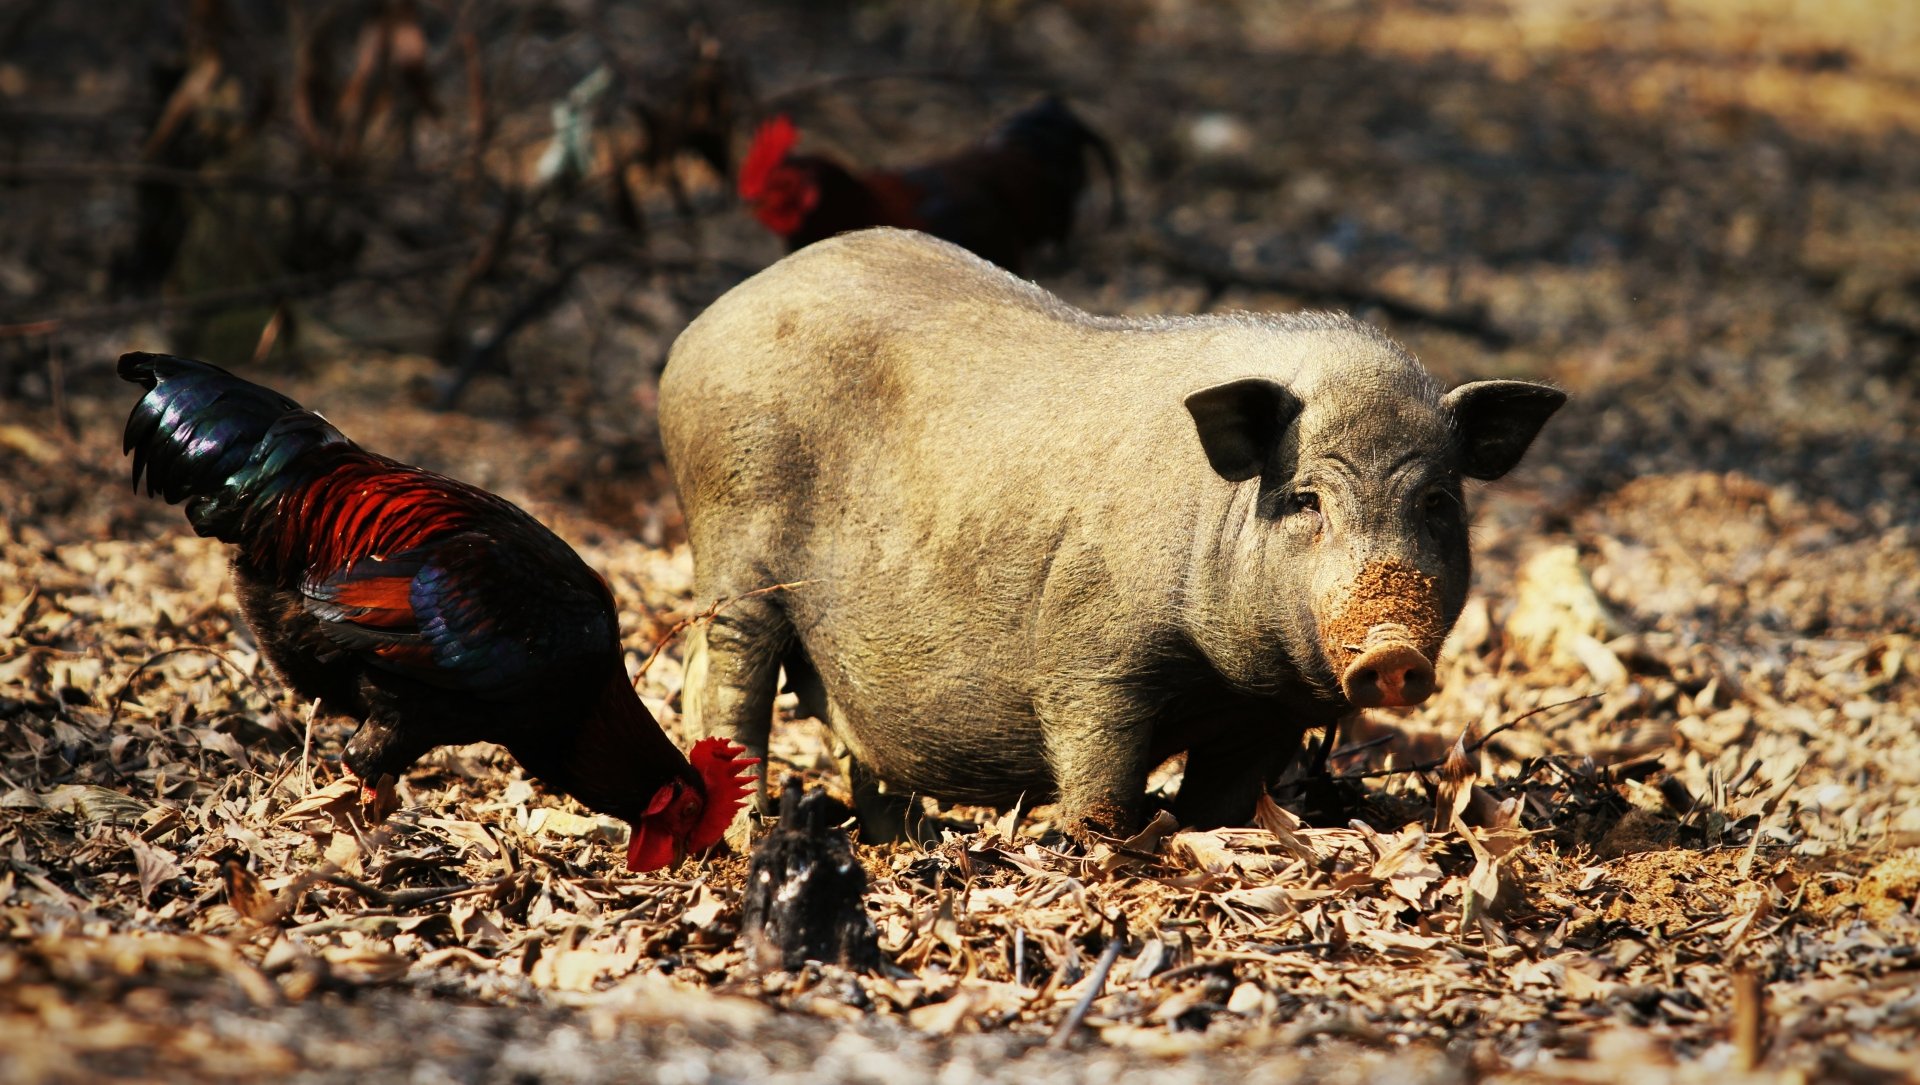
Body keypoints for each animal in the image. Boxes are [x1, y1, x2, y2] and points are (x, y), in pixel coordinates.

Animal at [659, 228, 1563, 839]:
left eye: (1438, 501)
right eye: (1307, 499)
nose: (1393, 652)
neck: (1218, 678)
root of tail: (697, 333)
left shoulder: (1264, 712)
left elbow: (1221, 801)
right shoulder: (1092, 656)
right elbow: (1101, 773)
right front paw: (1104, 848)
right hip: (734, 549)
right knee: (725, 676)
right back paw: (748, 834)